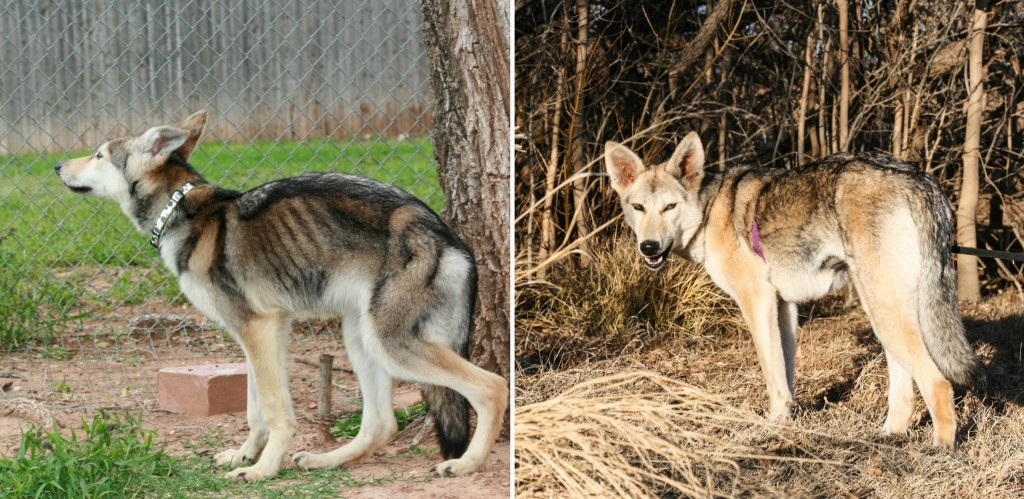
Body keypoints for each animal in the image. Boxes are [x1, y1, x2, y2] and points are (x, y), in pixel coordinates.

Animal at [56, 110, 507, 479]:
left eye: (98, 155)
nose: (58, 164)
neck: (182, 212)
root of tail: (449, 237)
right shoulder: (262, 334)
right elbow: (256, 409)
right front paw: (244, 456)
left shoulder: (258, 328)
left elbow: (275, 410)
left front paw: (262, 470)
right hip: (359, 337)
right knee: (382, 425)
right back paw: (324, 461)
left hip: (390, 344)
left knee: (492, 386)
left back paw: (466, 463)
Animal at [602, 132, 978, 444]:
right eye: (638, 208)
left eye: (670, 207)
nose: (648, 247)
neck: (708, 213)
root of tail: (919, 180)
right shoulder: (784, 307)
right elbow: (786, 370)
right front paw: (788, 419)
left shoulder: (757, 302)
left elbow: (772, 372)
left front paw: (771, 425)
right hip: (883, 312)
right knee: (905, 383)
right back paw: (890, 434)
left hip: (886, 310)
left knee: (938, 382)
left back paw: (940, 449)